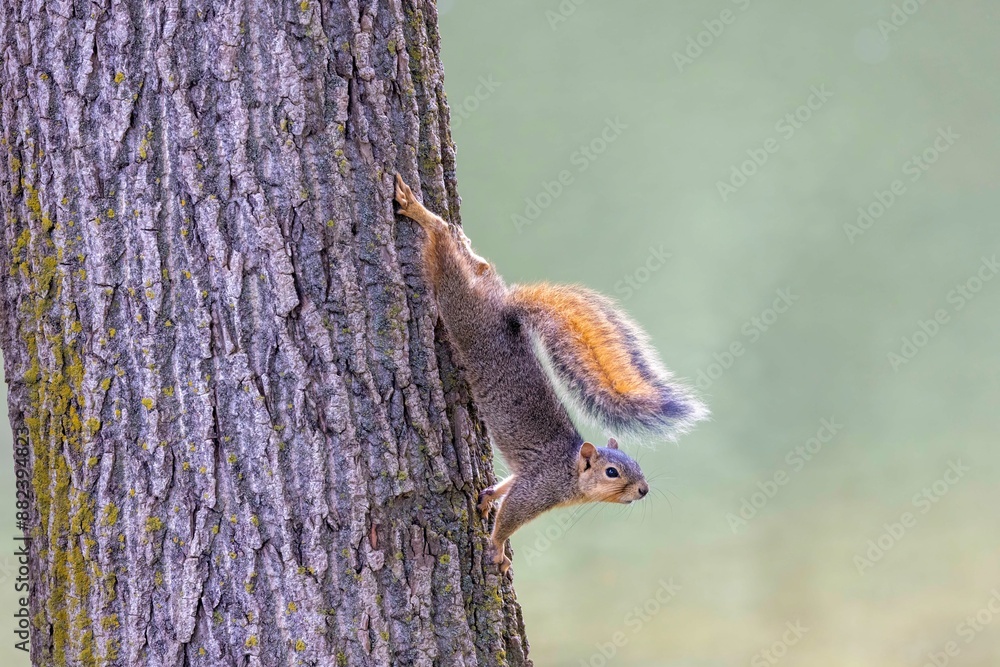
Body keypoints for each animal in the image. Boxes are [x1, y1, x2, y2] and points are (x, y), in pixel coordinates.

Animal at [393, 175, 707, 573]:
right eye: (612, 472)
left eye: (636, 463)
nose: (644, 489)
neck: (569, 470)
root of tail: (503, 310)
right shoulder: (538, 489)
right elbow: (509, 516)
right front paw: (497, 550)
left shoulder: (526, 477)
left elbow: (507, 485)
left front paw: (488, 495)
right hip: (461, 310)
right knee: (444, 251)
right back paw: (420, 212)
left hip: (479, 287)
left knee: (475, 263)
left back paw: (468, 248)